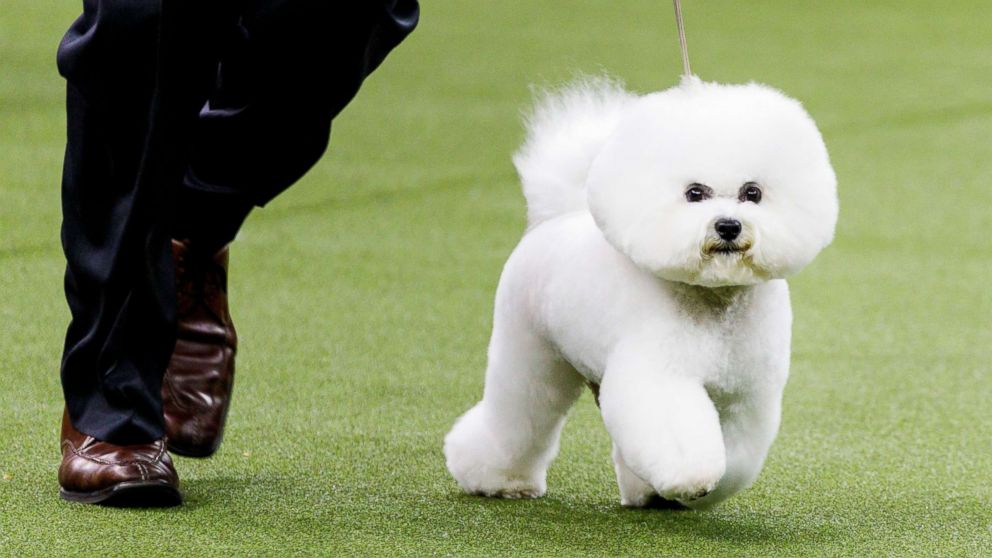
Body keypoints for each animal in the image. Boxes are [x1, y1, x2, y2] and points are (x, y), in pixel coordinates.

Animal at [446, 76, 840, 510]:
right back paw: (499, 480)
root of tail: (556, 217)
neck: (715, 301)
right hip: (530, 351)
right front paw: (692, 480)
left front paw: (706, 490)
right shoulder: (661, 375)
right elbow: (680, 438)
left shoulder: (745, 393)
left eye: (752, 193)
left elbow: (737, 458)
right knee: (520, 418)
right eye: (694, 193)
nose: (728, 226)